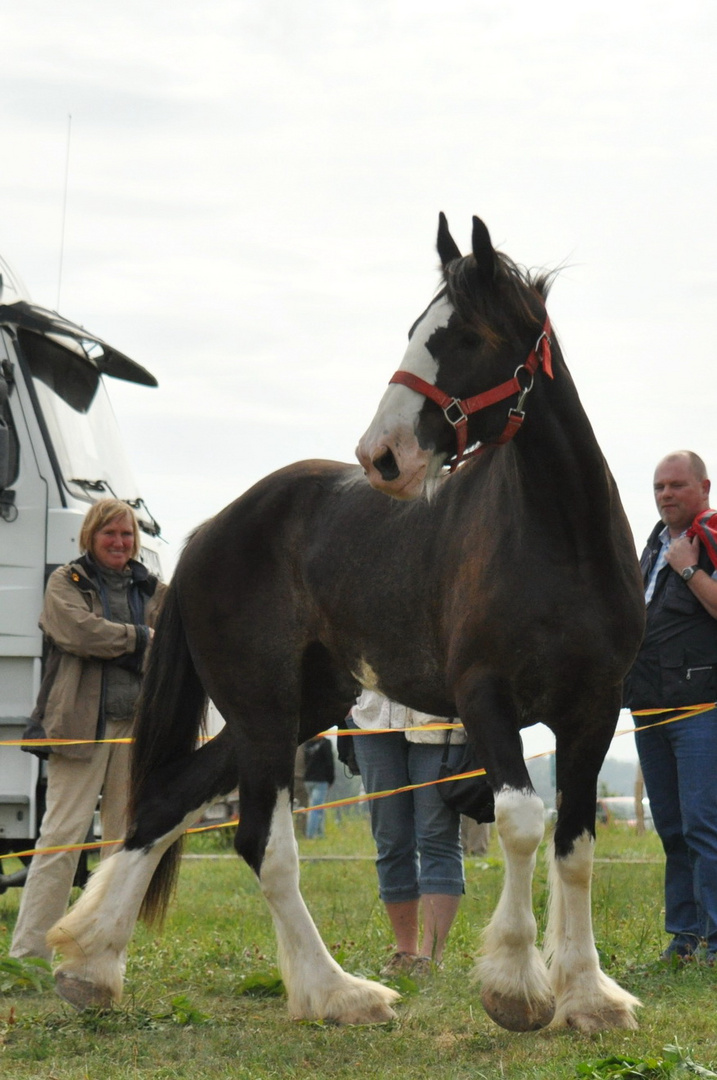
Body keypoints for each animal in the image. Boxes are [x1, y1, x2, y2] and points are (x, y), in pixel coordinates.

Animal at [49, 214, 643, 1032]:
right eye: (415, 331)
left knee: (168, 802)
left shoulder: (592, 710)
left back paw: (93, 965)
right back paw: (337, 992)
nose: (381, 456)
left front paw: (587, 993)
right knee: (263, 846)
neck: (561, 539)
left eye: (465, 336)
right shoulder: (484, 699)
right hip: (265, 710)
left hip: (301, 705)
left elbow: (575, 845)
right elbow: (524, 821)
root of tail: (211, 532)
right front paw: (516, 988)